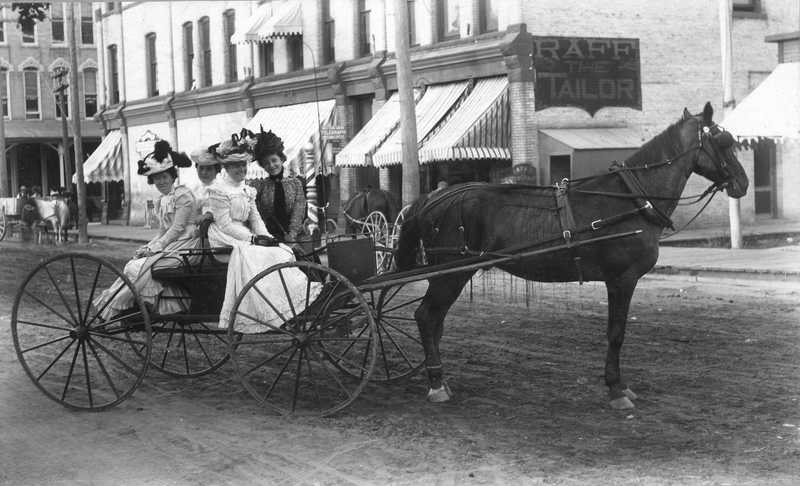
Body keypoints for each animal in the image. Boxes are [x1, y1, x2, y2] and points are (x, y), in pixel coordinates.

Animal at [396, 103, 748, 410]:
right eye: (724, 141)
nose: (743, 183)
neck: (632, 199)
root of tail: (430, 198)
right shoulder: (622, 280)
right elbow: (616, 334)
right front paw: (616, 388)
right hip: (451, 273)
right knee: (426, 317)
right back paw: (436, 384)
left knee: (435, 321)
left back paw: (438, 376)